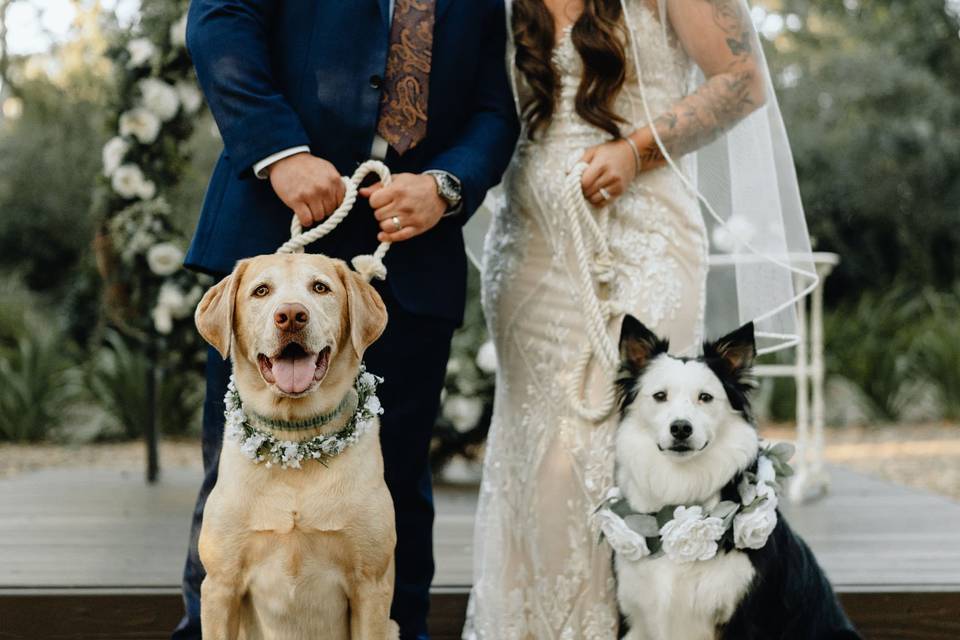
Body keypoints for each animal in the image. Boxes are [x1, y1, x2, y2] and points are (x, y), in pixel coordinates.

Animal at [195, 254, 398, 640]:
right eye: (261, 290)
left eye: (320, 287)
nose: (291, 315)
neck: (295, 443)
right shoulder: (220, 585)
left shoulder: (371, 585)